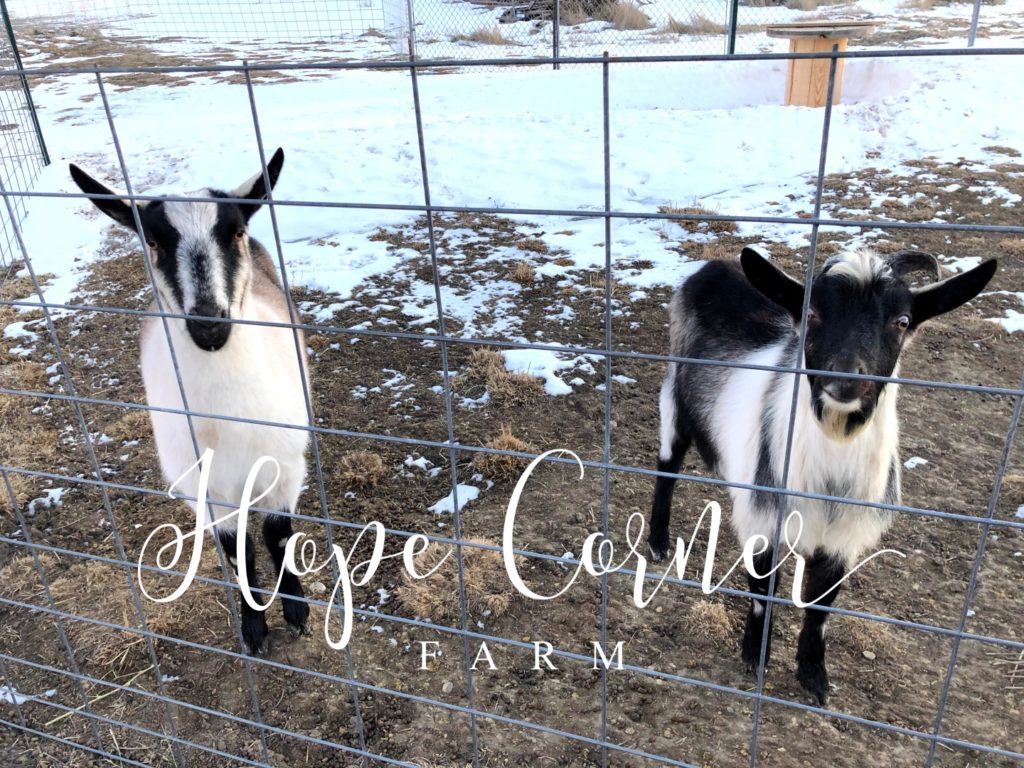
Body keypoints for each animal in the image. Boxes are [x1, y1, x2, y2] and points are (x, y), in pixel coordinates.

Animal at [70, 150, 309, 655]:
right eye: (152, 240)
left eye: (234, 232)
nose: (208, 324)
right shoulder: (207, 488)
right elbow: (239, 552)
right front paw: (254, 628)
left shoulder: (285, 466)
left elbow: (277, 536)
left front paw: (297, 613)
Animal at [651, 249, 995, 708]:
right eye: (811, 312)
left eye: (902, 321)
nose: (846, 378)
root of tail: (714, 267)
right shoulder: (765, 519)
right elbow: (763, 592)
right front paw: (755, 656)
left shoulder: (842, 538)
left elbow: (821, 608)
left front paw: (814, 677)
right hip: (674, 399)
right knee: (667, 467)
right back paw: (657, 541)